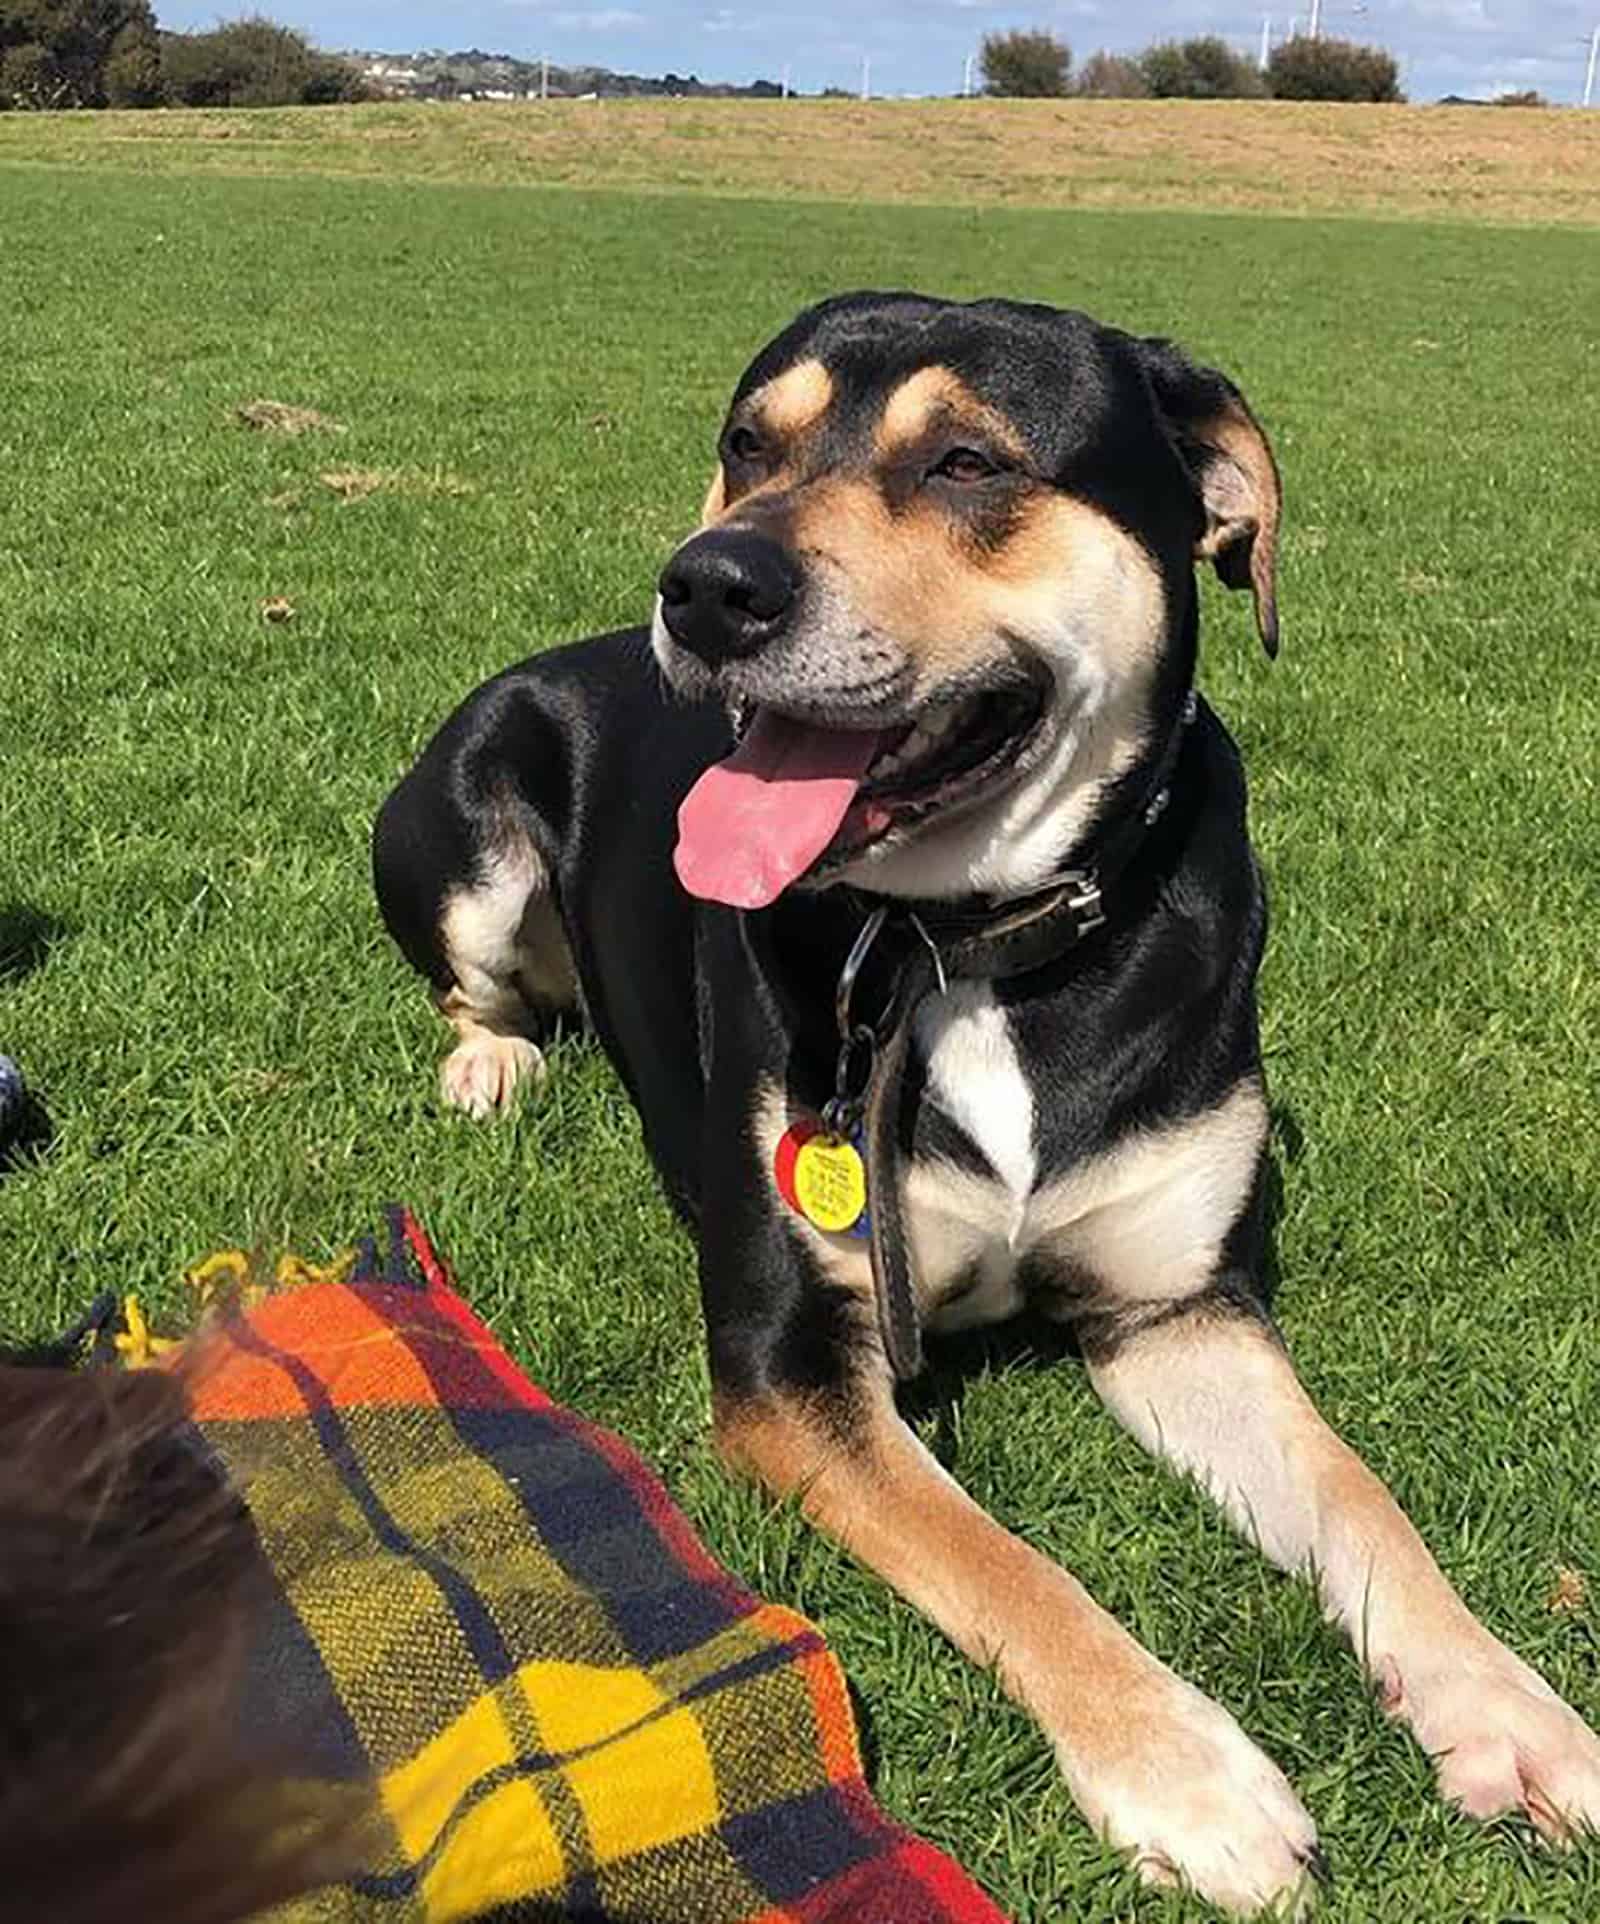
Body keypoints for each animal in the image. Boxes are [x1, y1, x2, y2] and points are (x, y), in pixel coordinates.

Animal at [371, 292, 1600, 1916]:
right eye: (747, 442)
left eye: (966, 461)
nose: (705, 587)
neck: (970, 947)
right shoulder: (791, 1364)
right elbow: (1007, 1559)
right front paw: (1189, 1770)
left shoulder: (1176, 1311)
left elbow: (1359, 1501)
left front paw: (1511, 1709)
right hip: (467, 823)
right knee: (480, 980)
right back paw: (491, 1060)